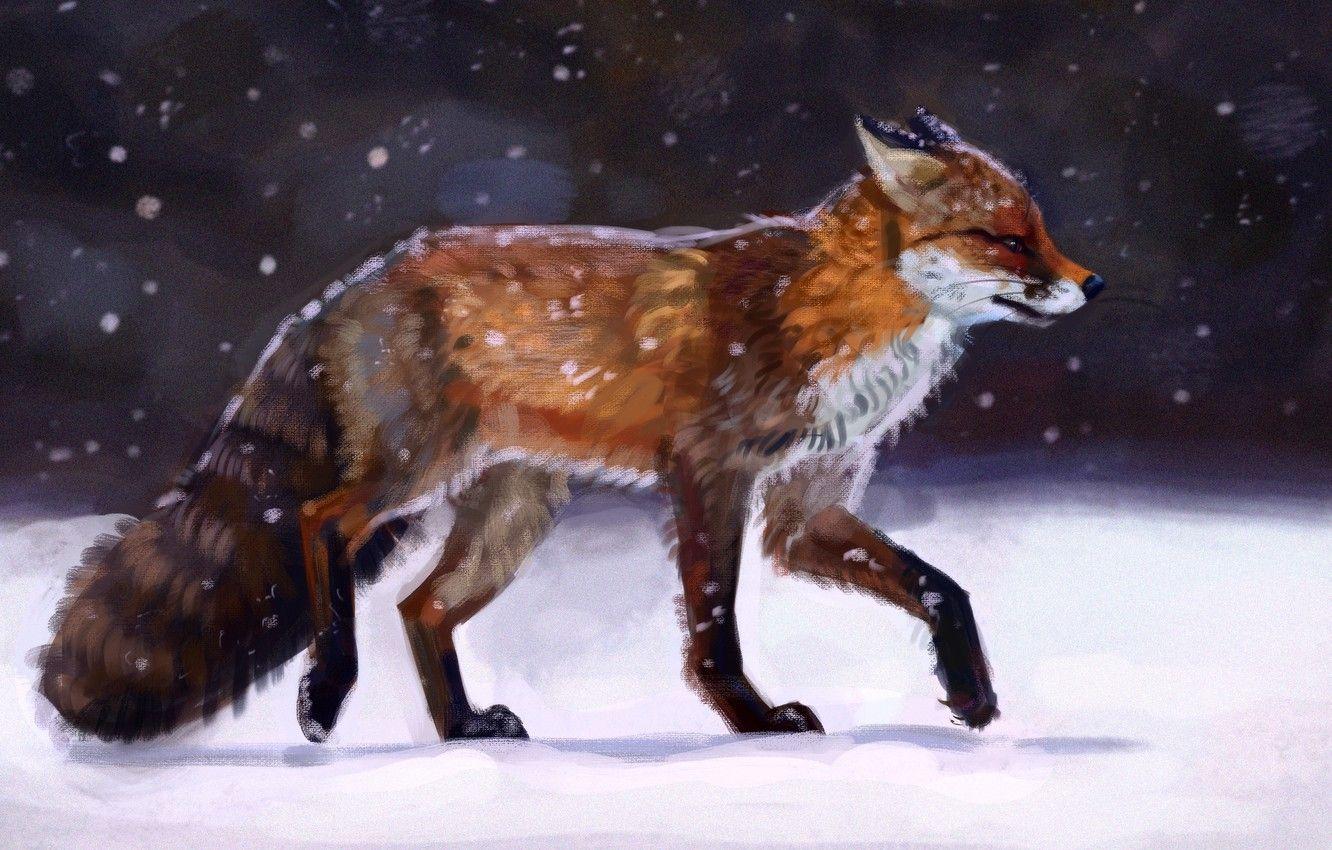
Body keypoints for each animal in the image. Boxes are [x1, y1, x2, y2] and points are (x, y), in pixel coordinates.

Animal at [39, 109, 1103, 743]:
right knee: (319, 523)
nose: (1091, 285)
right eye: (1007, 239)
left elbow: (941, 588)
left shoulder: (806, 509)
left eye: (1040, 230)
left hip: (512, 516)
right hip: (412, 475)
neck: (837, 309)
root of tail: (349, 287)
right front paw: (750, 719)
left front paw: (971, 694)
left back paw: (461, 730)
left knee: (420, 609)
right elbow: (714, 626)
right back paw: (327, 687)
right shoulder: (711, 472)